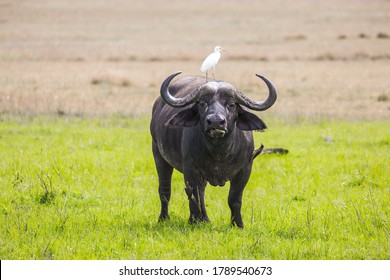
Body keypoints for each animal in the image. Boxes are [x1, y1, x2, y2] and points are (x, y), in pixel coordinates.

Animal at [150, 71, 278, 229]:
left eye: (231, 104)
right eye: (202, 103)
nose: (216, 122)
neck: (219, 153)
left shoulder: (245, 170)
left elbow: (234, 199)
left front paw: (237, 224)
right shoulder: (190, 170)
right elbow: (194, 196)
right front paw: (194, 220)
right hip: (158, 155)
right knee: (165, 190)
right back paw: (164, 218)